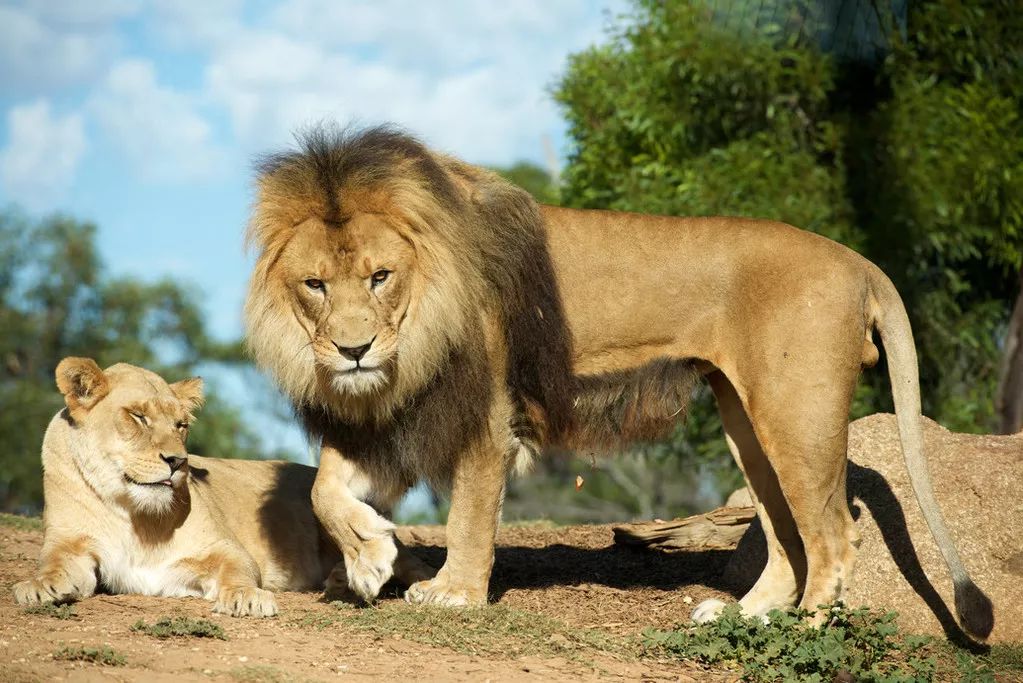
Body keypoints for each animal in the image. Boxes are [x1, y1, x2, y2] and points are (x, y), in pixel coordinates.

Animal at [12, 359, 343, 617]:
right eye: (138, 416)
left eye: (180, 425)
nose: (177, 461)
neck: (133, 515)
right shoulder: (70, 542)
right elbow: (53, 563)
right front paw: (39, 587)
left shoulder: (221, 547)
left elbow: (239, 570)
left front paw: (246, 597)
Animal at [245, 125, 990, 638]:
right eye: (315, 284)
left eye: (380, 276)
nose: (354, 350)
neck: (420, 319)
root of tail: (858, 261)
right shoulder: (398, 410)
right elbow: (322, 488)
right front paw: (371, 558)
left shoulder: (484, 412)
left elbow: (468, 512)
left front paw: (453, 591)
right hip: (746, 420)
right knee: (784, 530)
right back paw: (746, 616)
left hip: (795, 413)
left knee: (834, 532)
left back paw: (807, 632)